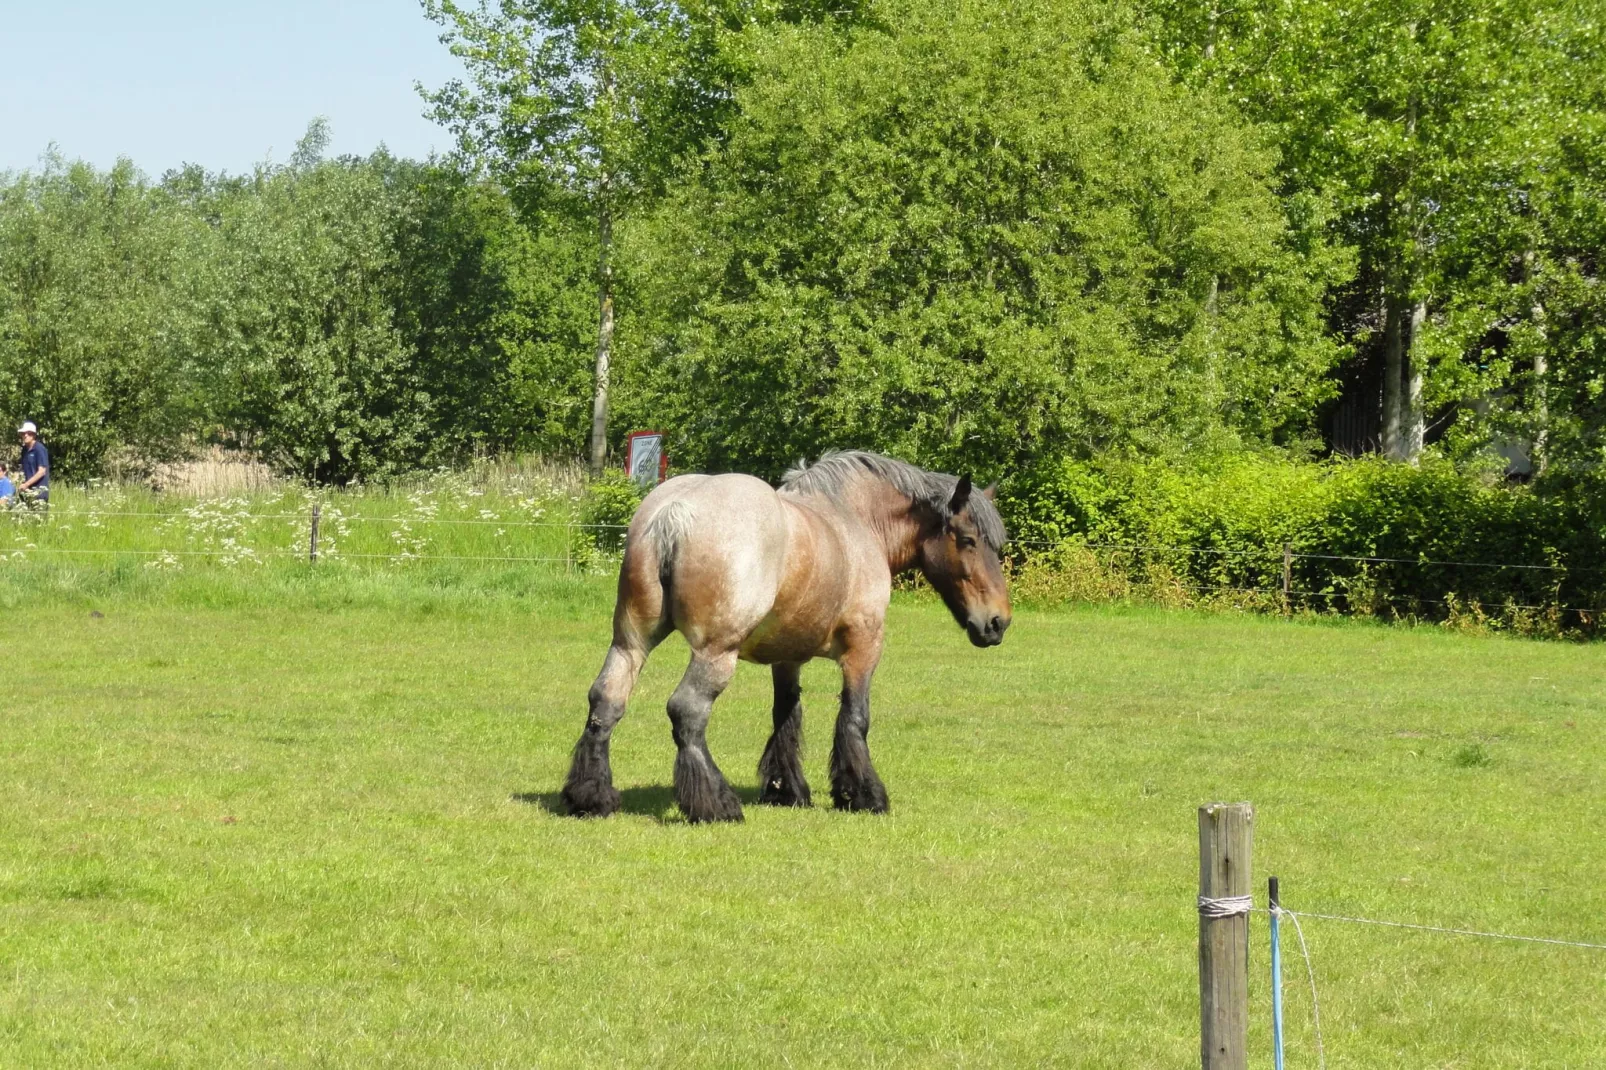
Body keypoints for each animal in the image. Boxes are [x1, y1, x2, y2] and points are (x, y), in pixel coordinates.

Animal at [565, 446, 1008, 819]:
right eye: (968, 539)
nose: (997, 622)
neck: (854, 519)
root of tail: (673, 513)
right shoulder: (864, 647)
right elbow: (855, 718)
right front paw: (862, 795)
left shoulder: (786, 657)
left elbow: (786, 715)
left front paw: (785, 789)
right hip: (714, 653)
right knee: (687, 712)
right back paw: (716, 804)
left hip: (630, 643)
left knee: (605, 701)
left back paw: (591, 796)